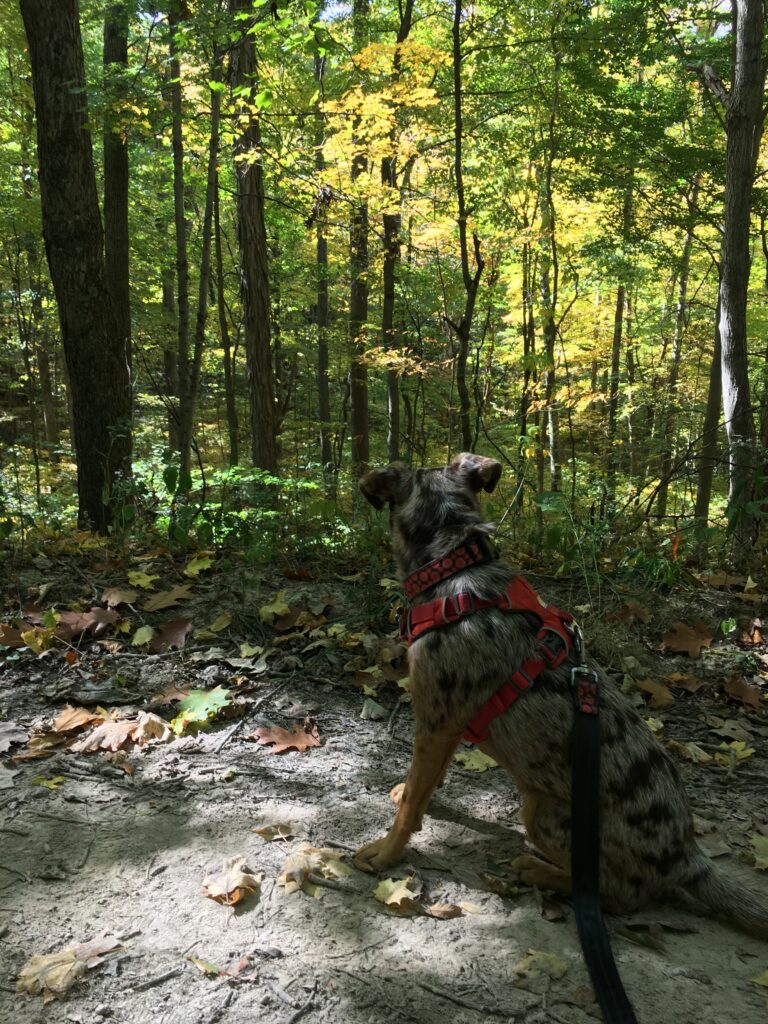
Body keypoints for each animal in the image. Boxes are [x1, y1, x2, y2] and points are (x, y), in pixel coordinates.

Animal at [354, 452, 768, 937]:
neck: (456, 567)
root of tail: (687, 858)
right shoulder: (447, 726)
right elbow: (427, 783)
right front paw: (409, 795)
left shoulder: (435, 721)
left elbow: (411, 807)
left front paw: (386, 853)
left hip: (545, 813)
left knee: (620, 895)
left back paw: (539, 870)